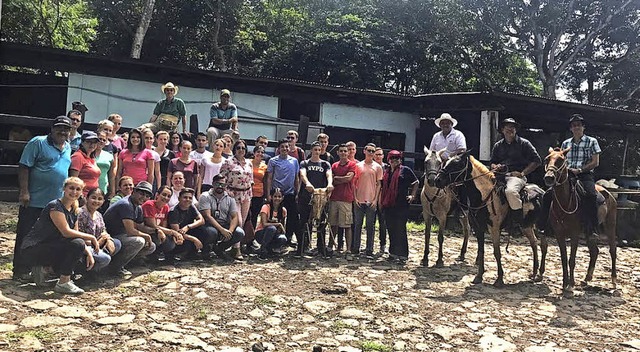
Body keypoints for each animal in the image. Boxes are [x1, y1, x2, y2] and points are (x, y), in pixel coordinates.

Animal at [432, 151, 548, 286]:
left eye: (457, 164)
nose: (437, 180)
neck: (485, 196)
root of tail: (542, 192)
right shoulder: (479, 228)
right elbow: (481, 250)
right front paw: (478, 276)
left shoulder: (494, 228)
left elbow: (497, 252)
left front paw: (499, 279)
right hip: (527, 226)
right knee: (534, 243)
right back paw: (535, 273)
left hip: (539, 226)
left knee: (543, 245)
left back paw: (539, 274)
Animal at [544, 147, 616, 290]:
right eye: (547, 159)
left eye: (560, 160)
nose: (549, 177)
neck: (565, 202)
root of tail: (610, 194)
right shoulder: (559, 234)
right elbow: (564, 258)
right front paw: (565, 282)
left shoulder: (574, 233)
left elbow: (572, 259)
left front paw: (571, 284)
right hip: (589, 232)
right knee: (595, 251)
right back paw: (587, 278)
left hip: (610, 226)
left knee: (612, 250)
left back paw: (614, 279)